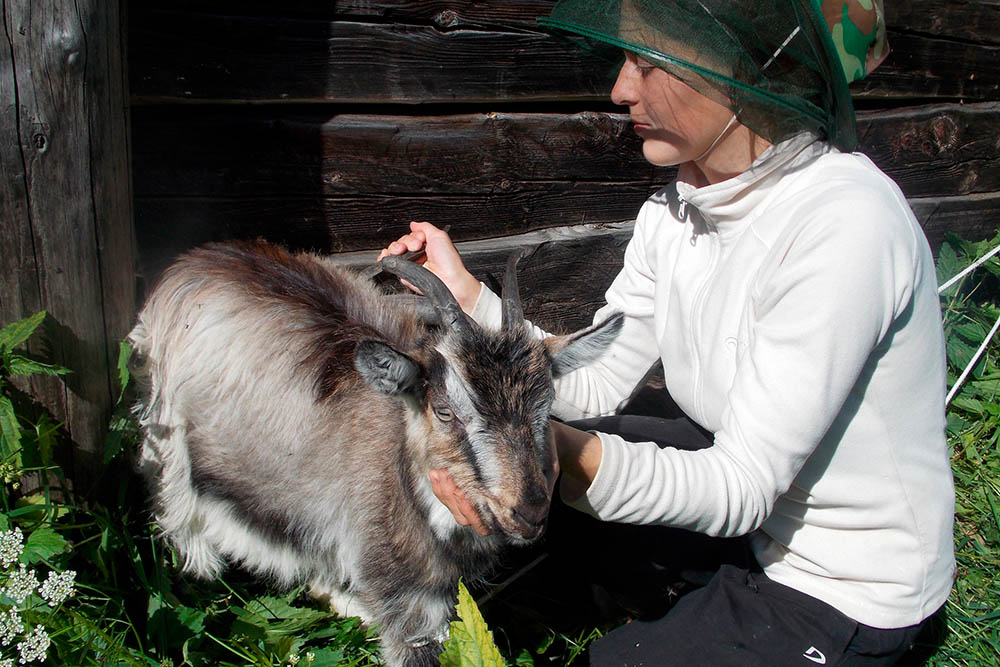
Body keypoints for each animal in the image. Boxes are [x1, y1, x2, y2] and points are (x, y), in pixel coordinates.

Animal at [128, 241, 620, 667]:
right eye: (444, 411)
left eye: (545, 406)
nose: (529, 511)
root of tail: (193, 261)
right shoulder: (409, 607)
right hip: (167, 446)